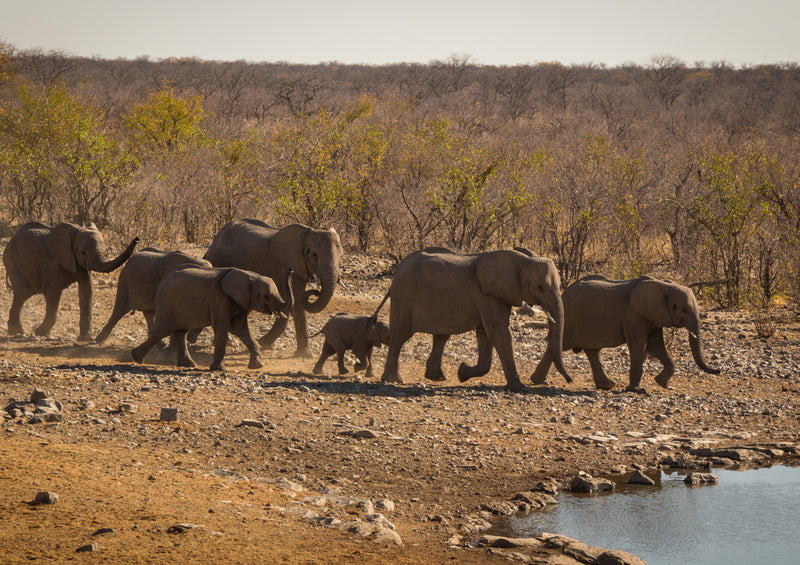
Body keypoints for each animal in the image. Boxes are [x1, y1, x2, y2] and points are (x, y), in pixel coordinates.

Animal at [3, 223, 139, 342]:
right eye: (83, 252)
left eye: (105, 250)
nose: (137, 239)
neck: (75, 231)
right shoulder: (52, 263)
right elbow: (53, 293)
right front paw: (40, 333)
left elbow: (86, 291)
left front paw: (85, 338)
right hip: (11, 259)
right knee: (23, 292)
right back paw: (16, 332)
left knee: (24, 294)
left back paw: (15, 331)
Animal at [131, 266, 294, 370]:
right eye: (266, 296)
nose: (291, 270)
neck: (250, 276)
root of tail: (159, 284)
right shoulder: (219, 298)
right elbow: (223, 327)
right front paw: (219, 369)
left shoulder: (242, 302)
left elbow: (240, 329)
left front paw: (257, 366)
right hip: (167, 303)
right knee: (163, 330)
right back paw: (136, 357)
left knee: (180, 332)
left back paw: (188, 365)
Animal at [203, 217, 340, 354]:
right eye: (313, 255)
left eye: (341, 254)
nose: (315, 291)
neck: (307, 233)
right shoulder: (287, 266)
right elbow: (296, 300)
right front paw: (305, 355)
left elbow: (290, 303)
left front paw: (263, 344)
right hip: (218, 260)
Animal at [378, 247, 572, 392]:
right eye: (539, 287)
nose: (569, 380)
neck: (521, 260)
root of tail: (399, 269)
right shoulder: (486, 294)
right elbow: (499, 334)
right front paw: (519, 387)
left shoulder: (496, 295)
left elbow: (485, 335)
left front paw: (462, 372)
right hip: (404, 297)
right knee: (400, 336)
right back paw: (394, 380)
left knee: (441, 337)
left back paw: (437, 377)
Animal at [532, 274, 720, 392]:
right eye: (684, 309)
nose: (718, 371)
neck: (663, 285)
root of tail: (564, 293)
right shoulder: (633, 315)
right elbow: (639, 345)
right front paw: (637, 390)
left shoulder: (653, 317)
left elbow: (656, 346)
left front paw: (663, 384)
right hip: (570, 320)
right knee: (558, 345)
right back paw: (538, 381)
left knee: (592, 351)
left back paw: (607, 385)